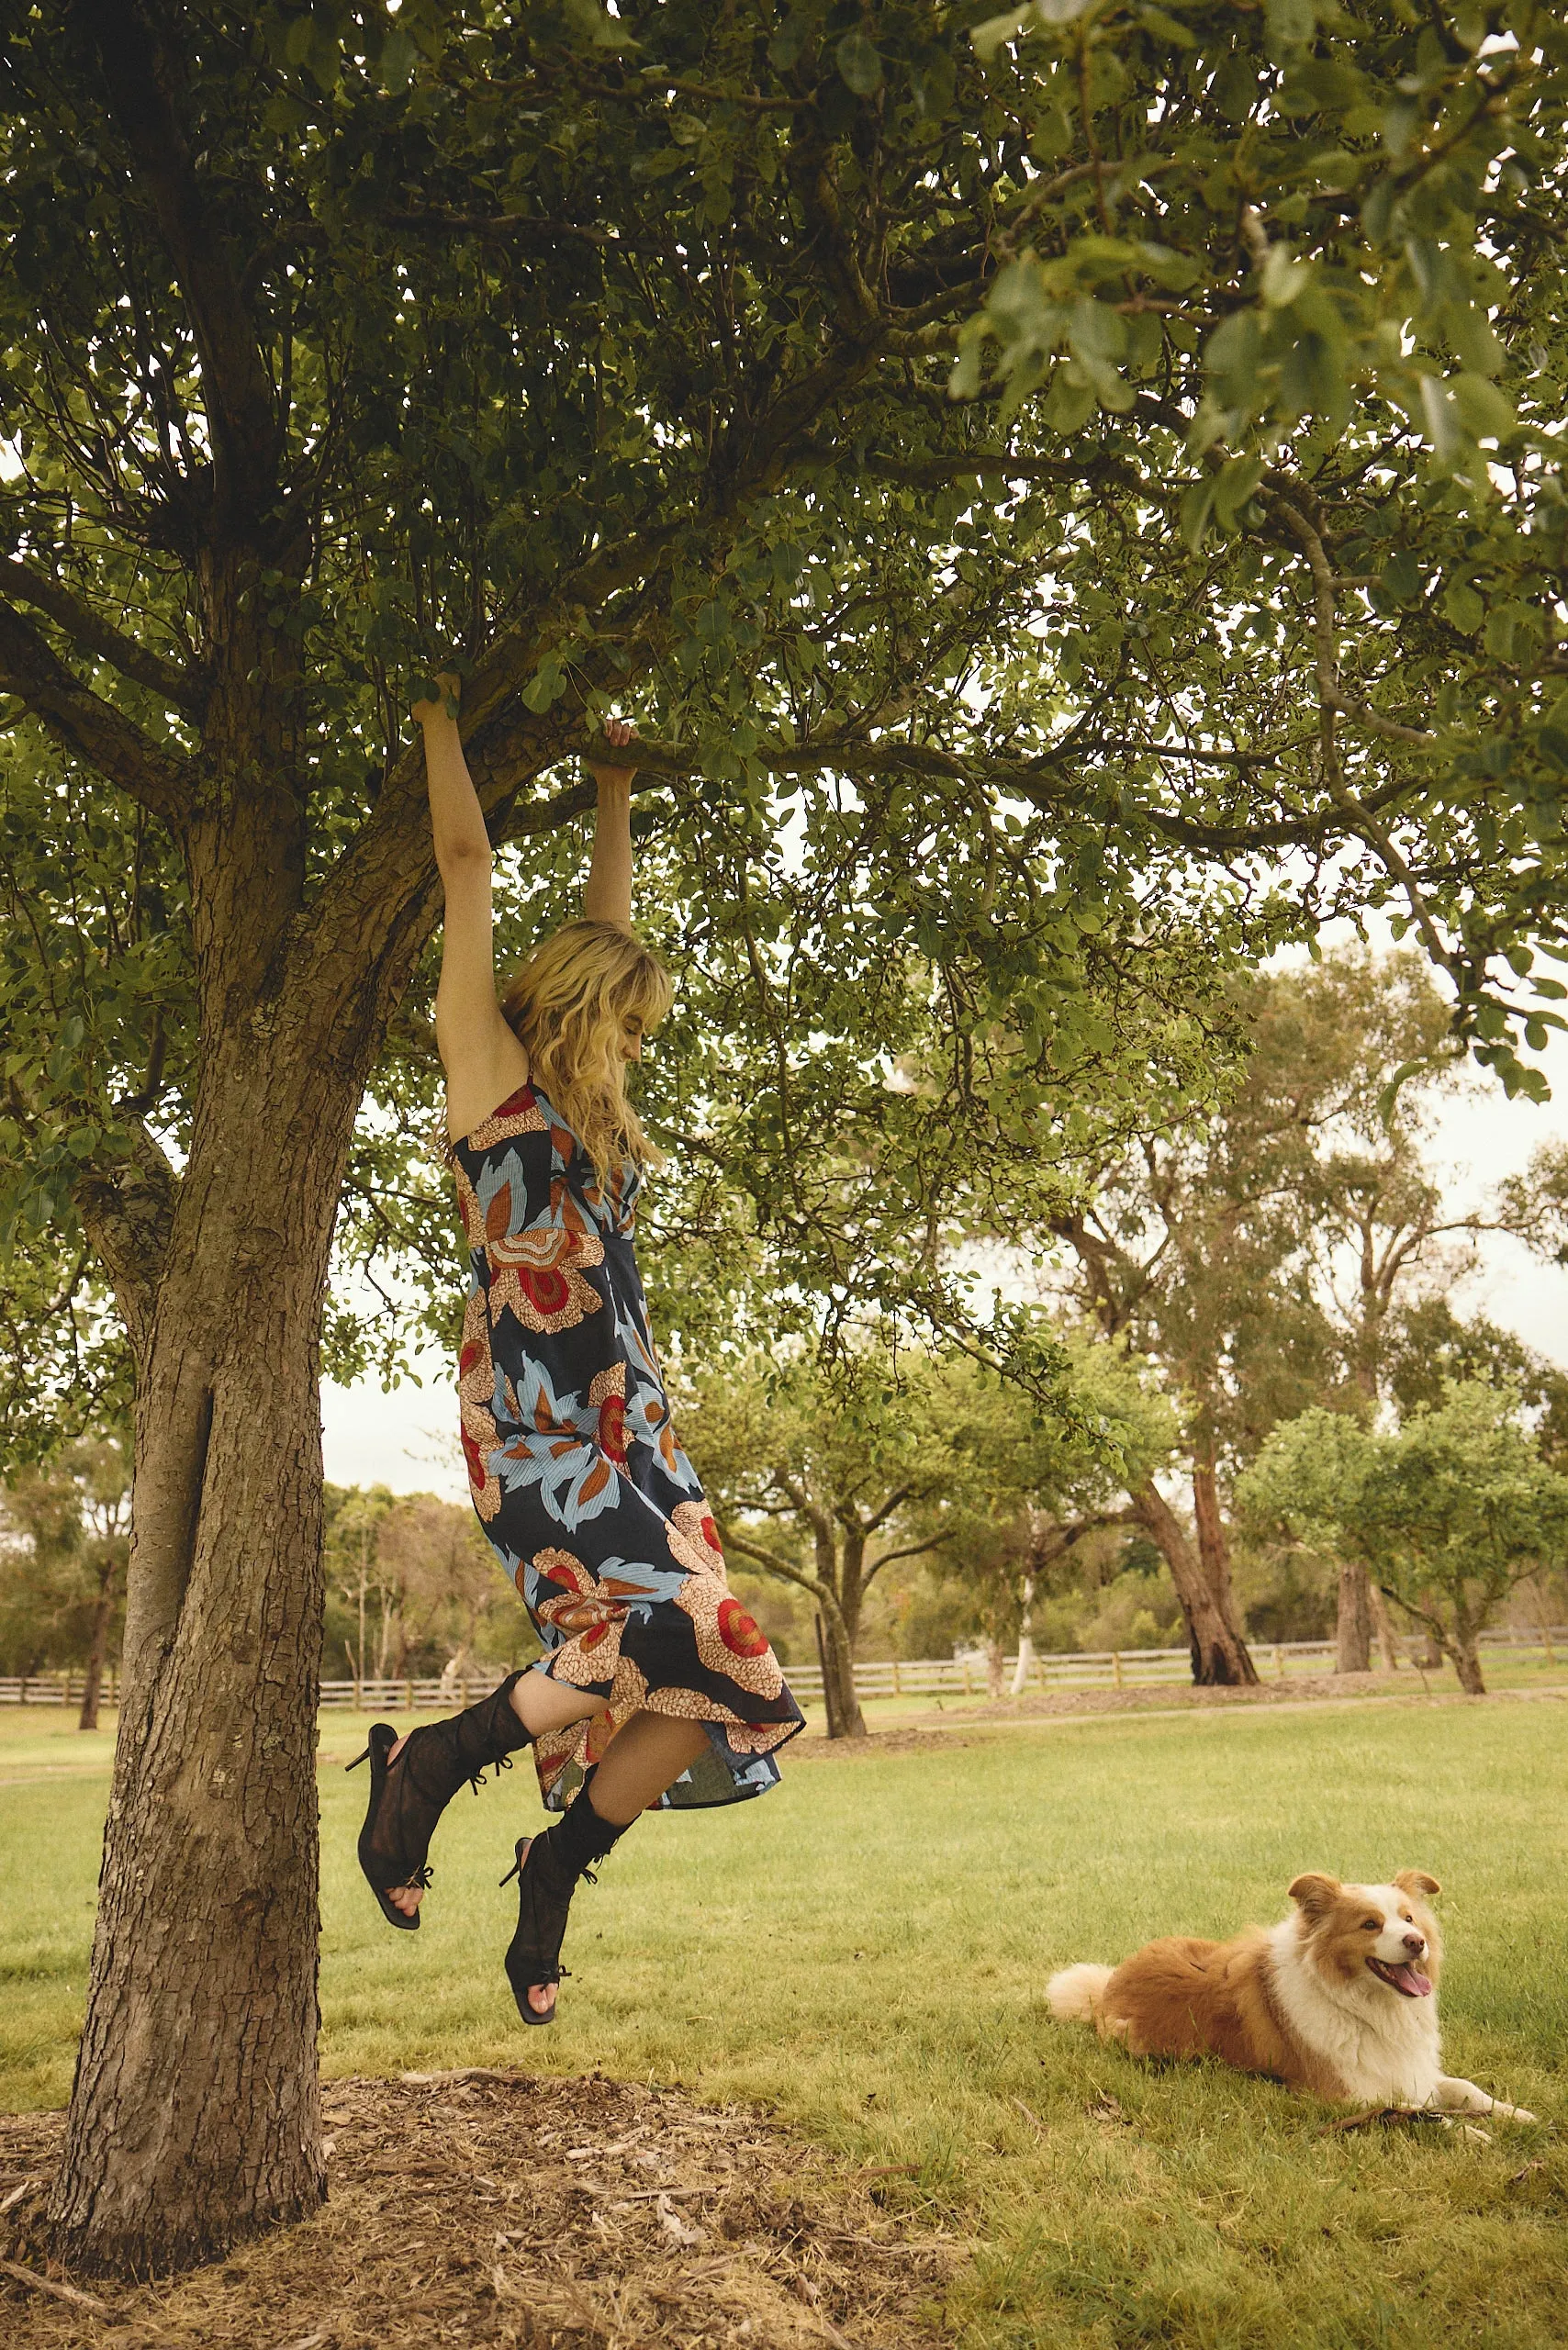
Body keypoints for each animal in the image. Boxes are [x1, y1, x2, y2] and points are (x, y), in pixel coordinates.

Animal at [1048, 1870, 1541, 2133]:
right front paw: (1472, 2134)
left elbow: (1466, 2089)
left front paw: (1518, 2114)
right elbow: (1420, 2114)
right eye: (1369, 1924)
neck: (1362, 2007)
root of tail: (1109, 1985)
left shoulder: (1409, 2069)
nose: (1416, 1942)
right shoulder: (1347, 2097)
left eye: (1408, 1918)